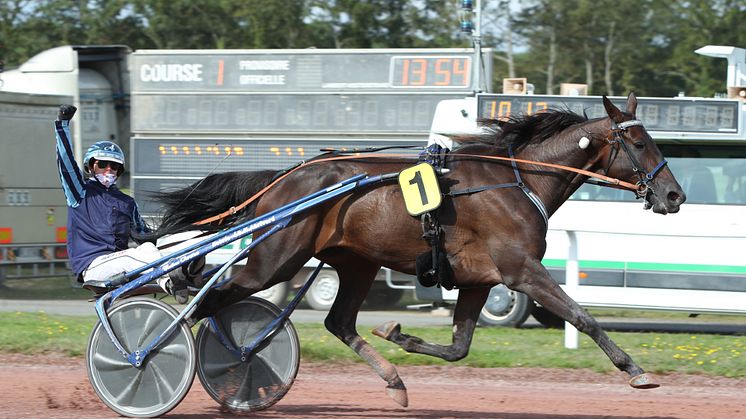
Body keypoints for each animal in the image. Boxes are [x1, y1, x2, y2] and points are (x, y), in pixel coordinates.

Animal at [148, 94, 684, 406]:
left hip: (357, 262)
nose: (674, 195)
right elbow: (583, 316)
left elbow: (458, 348)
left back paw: (393, 381)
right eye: (639, 142)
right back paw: (164, 348)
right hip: (276, 258)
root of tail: (283, 177)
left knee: (337, 323)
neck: (518, 181)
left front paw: (398, 334)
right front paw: (635, 371)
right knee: (208, 300)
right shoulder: (520, 270)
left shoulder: (478, 279)